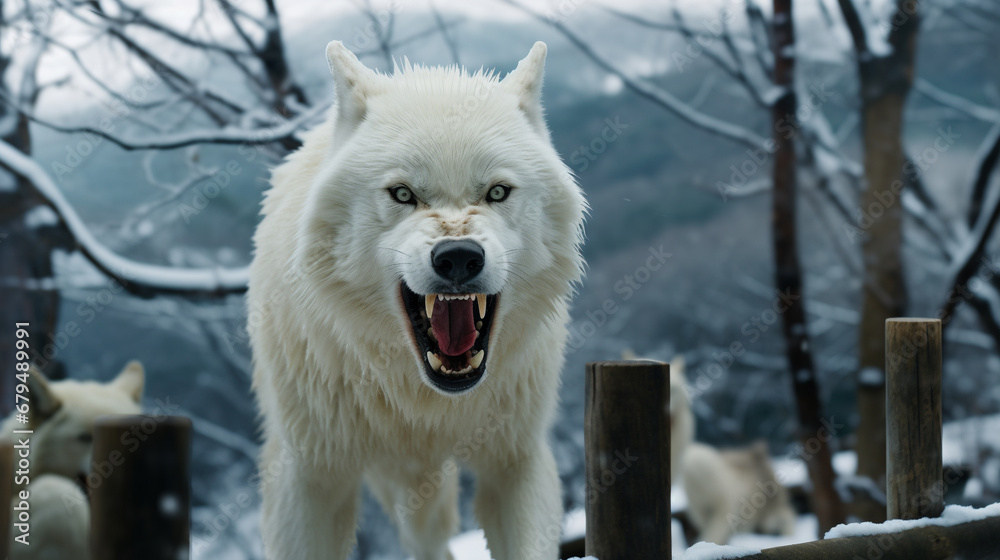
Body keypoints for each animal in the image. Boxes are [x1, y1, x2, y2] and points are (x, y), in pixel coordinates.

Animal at [248, 41, 585, 560]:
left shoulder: (516, 461)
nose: (459, 257)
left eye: (497, 192)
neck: (425, 408)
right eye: (403, 193)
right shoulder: (310, 477)